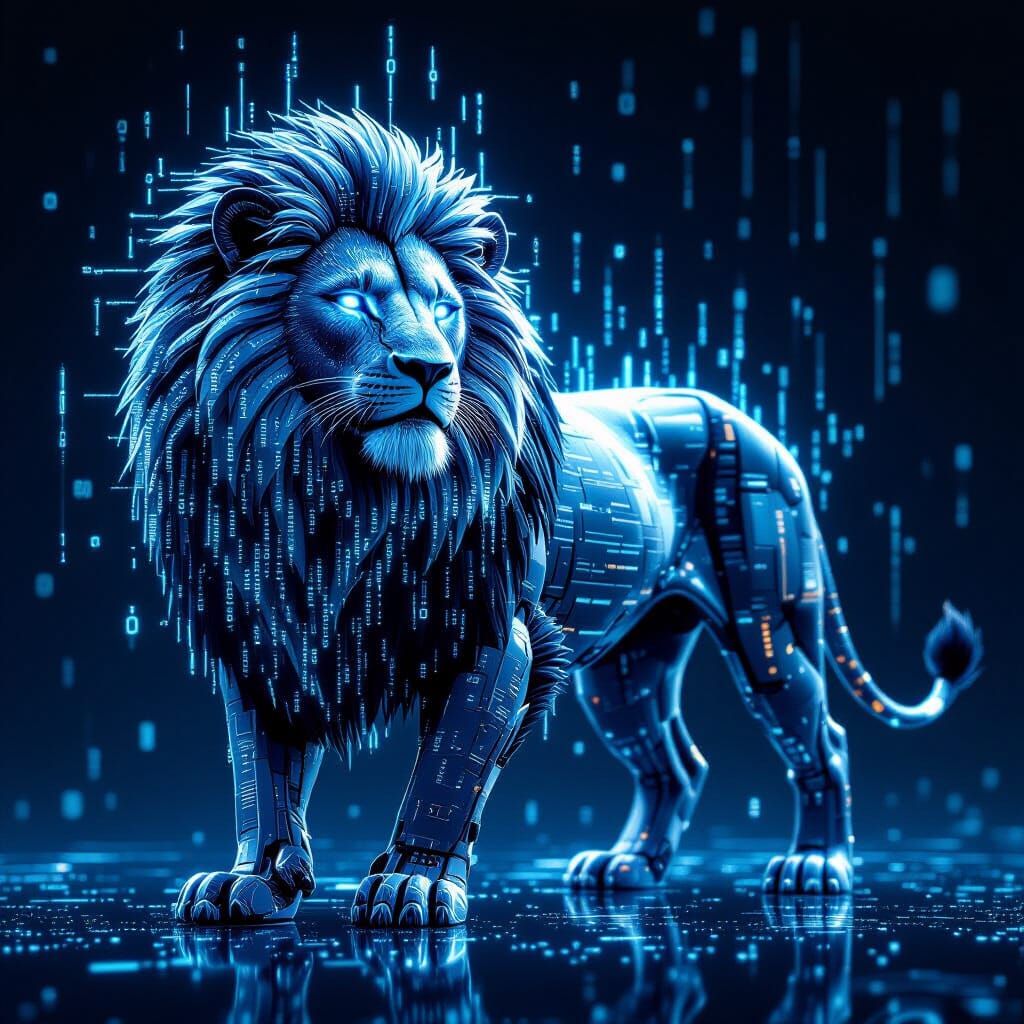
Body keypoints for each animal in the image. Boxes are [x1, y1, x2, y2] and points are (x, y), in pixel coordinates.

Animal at [120, 109, 982, 927]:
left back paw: (815, 869)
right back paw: (625, 867)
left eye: (445, 308)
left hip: (766, 619)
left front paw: (413, 885)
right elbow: (262, 779)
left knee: (821, 738)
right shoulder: (263, 634)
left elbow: (447, 775)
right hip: (630, 665)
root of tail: (764, 429)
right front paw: (253, 883)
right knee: (676, 762)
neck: (333, 489)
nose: (431, 367)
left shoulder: (497, 635)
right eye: (353, 299)